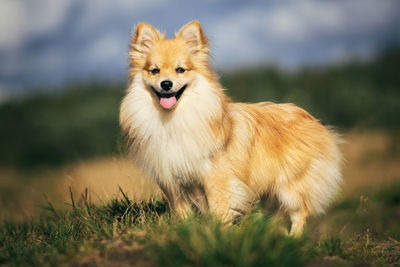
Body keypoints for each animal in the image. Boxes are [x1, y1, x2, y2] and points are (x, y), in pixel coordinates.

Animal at [120, 21, 342, 237]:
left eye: (180, 70)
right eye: (154, 71)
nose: (166, 84)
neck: (173, 119)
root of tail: (312, 119)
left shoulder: (216, 178)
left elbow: (219, 209)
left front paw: (221, 233)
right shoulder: (174, 183)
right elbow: (183, 213)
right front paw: (185, 230)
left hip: (291, 185)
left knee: (299, 212)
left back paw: (293, 239)